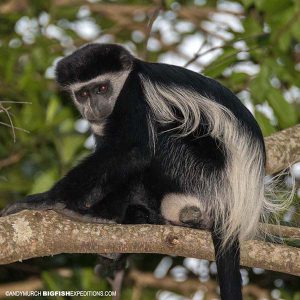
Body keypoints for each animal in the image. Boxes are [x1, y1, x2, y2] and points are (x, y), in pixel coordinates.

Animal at [1, 43, 272, 298]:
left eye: (102, 89)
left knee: (156, 142)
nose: (93, 106)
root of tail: (235, 207)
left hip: (198, 174)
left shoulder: (134, 93)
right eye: (83, 93)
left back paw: (96, 216)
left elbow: (133, 149)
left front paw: (46, 199)